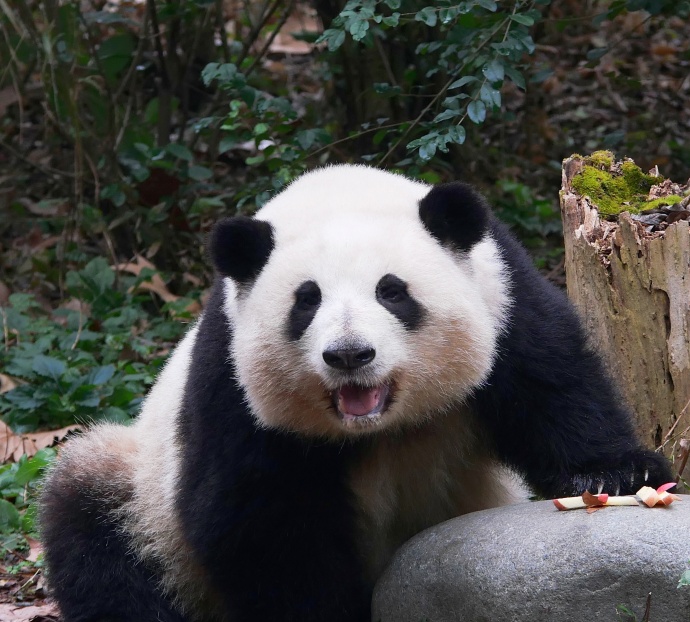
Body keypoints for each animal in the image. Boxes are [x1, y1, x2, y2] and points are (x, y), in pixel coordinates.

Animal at [40, 165, 672, 622]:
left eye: (392, 291)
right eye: (306, 300)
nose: (348, 355)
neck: (382, 429)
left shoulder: (502, 299)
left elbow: (553, 383)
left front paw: (612, 474)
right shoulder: (230, 380)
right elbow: (254, 518)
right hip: (148, 507)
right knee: (93, 523)